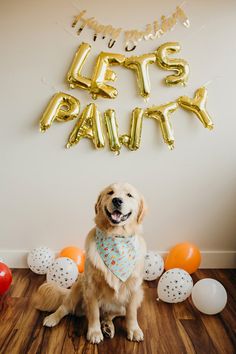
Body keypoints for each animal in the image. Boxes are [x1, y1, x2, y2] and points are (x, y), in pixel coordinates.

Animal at [33, 183, 146, 342]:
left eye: (129, 195)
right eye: (110, 192)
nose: (117, 200)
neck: (115, 236)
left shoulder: (134, 289)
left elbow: (132, 314)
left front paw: (134, 329)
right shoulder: (91, 286)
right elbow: (93, 313)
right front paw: (94, 332)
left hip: (134, 299)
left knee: (109, 314)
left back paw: (107, 326)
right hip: (78, 287)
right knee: (65, 307)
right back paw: (52, 318)